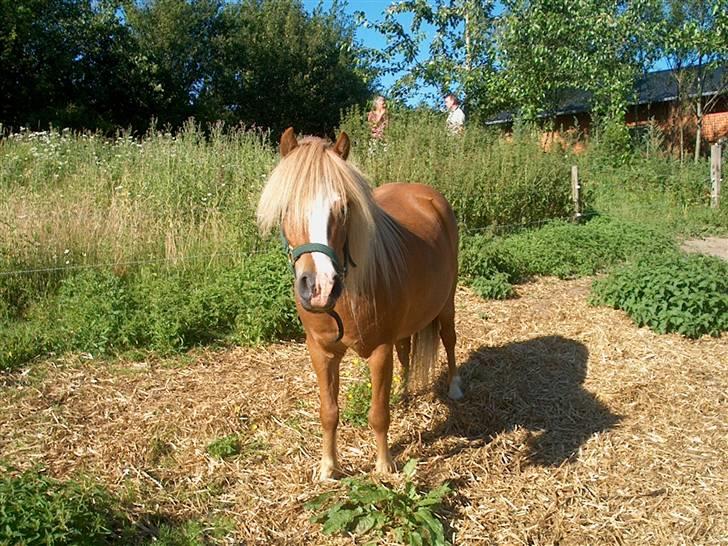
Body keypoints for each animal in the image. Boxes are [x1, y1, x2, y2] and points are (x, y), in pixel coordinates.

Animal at [256, 127, 460, 476]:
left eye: (343, 208)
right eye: (287, 208)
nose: (320, 287)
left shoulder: (379, 352)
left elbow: (378, 414)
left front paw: (384, 465)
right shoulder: (321, 352)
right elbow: (328, 412)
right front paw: (328, 468)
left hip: (447, 303)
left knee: (449, 339)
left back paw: (455, 387)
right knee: (406, 350)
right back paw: (404, 395)